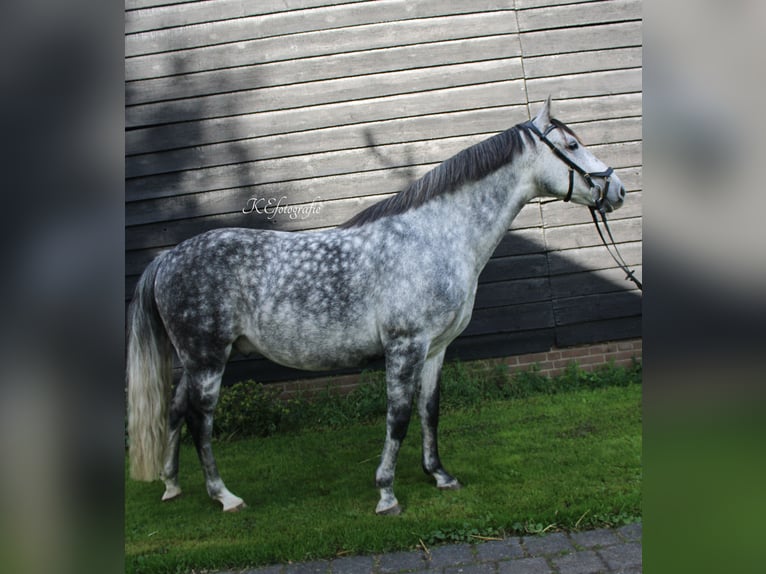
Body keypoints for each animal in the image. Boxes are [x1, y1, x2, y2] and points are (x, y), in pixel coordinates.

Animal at [127, 100, 632, 516]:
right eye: (572, 144)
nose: (618, 190)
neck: (434, 236)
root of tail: (167, 258)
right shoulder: (405, 346)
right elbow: (399, 417)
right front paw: (387, 494)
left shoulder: (435, 349)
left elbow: (430, 410)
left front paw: (440, 475)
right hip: (209, 359)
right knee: (200, 420)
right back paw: (224, 496)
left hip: (195, 362)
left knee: (175, 411)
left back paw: (172, 486)